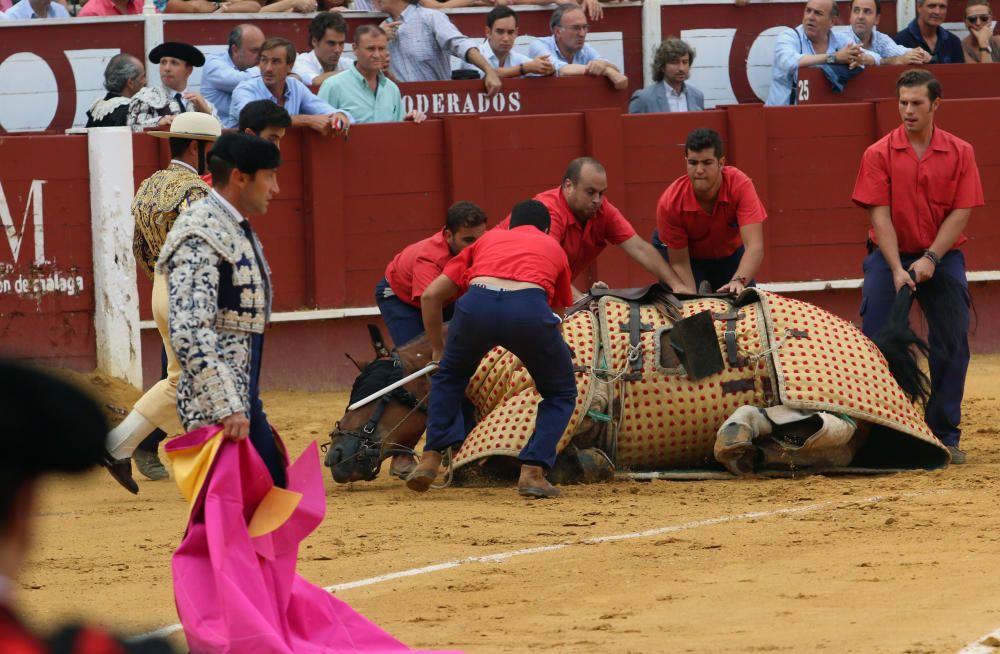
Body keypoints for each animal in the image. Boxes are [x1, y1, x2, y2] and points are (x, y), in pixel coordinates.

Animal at [324, 288, 948, 486]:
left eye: (381, 393)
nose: (334, 454)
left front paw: (585, 465)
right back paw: (750, 447)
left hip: (815, 386)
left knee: (829, 429)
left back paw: (742, 436)